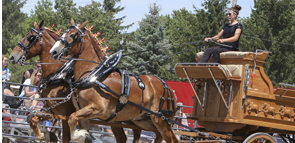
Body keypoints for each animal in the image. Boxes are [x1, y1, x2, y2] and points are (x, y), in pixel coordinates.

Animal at [50, 18, 178, 143]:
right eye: (63, 33)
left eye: (72, 35)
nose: (54, 52)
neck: (95, 76)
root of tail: (168, 87)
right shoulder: (83, 113)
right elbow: (75, 121)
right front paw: (82, 135)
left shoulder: (99, 109)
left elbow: (71, 118)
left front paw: (79, 135)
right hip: (144, 120)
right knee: (157, 135)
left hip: (160, 119)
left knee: (172, 139)